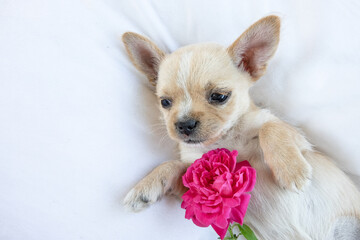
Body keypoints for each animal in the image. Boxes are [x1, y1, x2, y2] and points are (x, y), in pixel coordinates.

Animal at [121, 15, 360, 239]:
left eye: (219, 96)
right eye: (165, 102)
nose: (184, 124)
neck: (225, 138)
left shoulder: (297, 137)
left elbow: (270, 129)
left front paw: (292, 171)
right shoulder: (195, 184)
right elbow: (173, 165)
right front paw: (146, 186)